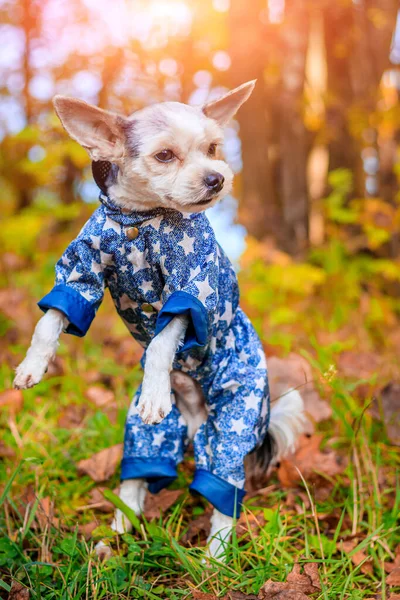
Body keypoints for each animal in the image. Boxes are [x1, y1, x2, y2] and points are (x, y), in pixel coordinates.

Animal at [12, 82, 306, 560]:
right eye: (165, 156)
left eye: (212, 149)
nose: (216, 178)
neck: (139, 220)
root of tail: (194, 421)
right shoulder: (82, 271)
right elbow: (53, 319)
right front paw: (32, 366)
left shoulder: (189, 290)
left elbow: (162, 343)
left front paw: (155, 388)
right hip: (149, 433)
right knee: (139, 473)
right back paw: (116, 534)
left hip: (236, 413)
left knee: (223, 482)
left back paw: (214, 557)